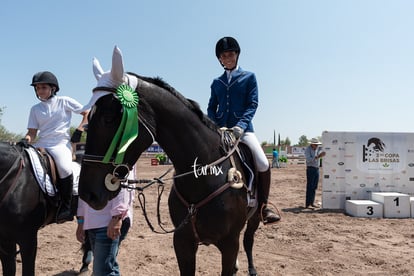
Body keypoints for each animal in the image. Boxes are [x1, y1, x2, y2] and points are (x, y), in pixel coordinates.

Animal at [78, 46, 262, 274]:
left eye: (109, 118)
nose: (87, 194)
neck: (203, 178)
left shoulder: (229, 245)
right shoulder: (182, 243)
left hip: (254, 218)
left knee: (249, 239)